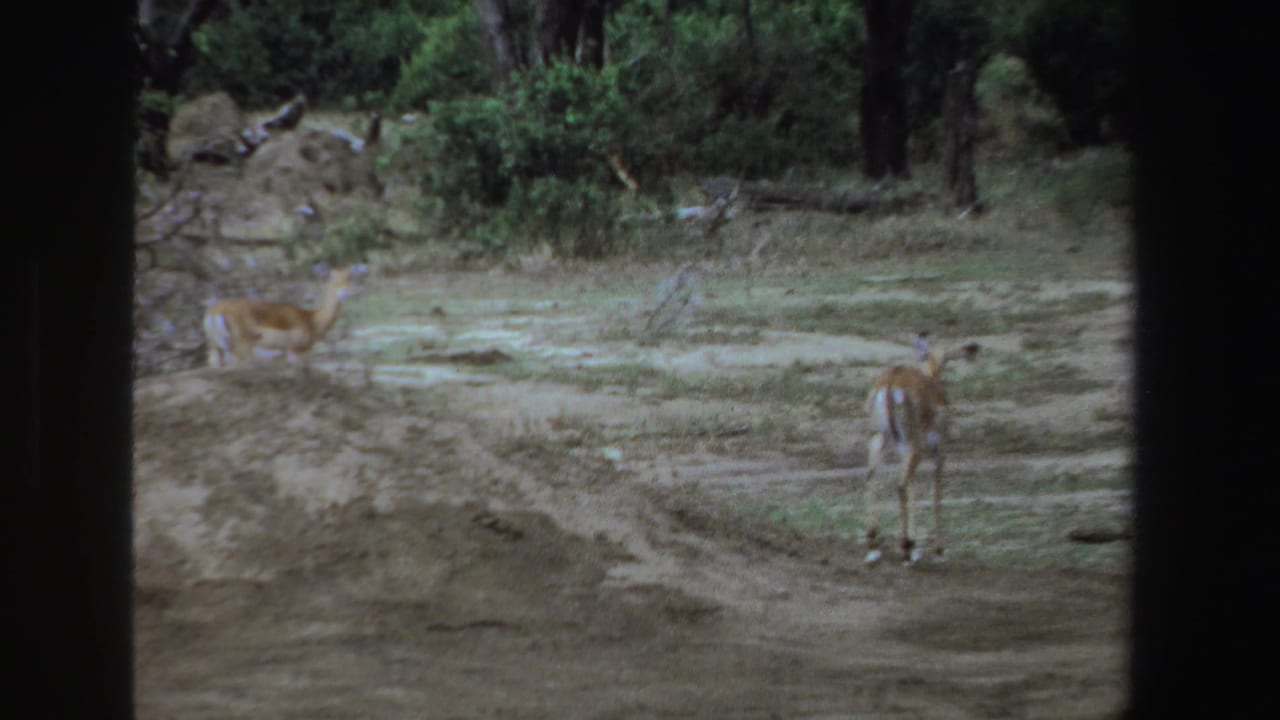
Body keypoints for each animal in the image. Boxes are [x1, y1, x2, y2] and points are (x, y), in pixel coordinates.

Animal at [203, 264, 365, 368]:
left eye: (350, 277)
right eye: (334, 279)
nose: (348, 291)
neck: (311, 320)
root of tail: (215, 312)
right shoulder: (294, 353)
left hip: (216, 350)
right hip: (240, 349)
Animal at [863, 332, 980, 566]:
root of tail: (891, 382)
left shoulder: (904, 451)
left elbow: (914, 488)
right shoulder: (939, 452)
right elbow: (936, 493)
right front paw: (939, 551)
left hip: (880, 439)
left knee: (873, 477)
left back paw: (875, 547)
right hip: (913, 446)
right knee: (900, 484)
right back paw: (906, 548)